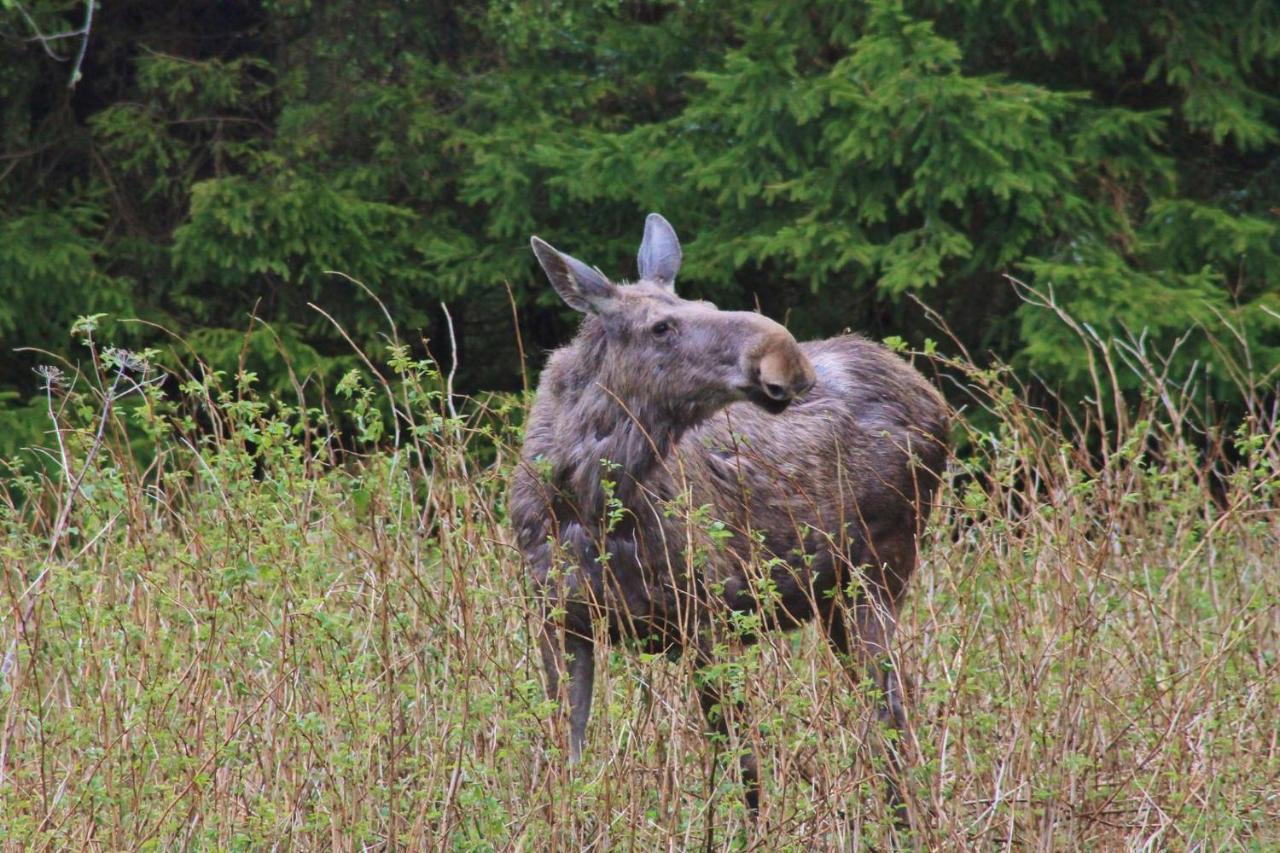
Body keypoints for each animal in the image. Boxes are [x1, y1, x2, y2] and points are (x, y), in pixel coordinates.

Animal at [512, 211, 952, 809]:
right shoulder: (559, 620)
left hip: (879, 574)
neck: (586, 501)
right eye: (661, 327)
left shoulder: (710, 615)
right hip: (837, 600)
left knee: (893, 721)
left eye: (708, 303)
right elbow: (567, 756)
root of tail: (936, 403)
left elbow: (743, 769)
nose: (785, 359)